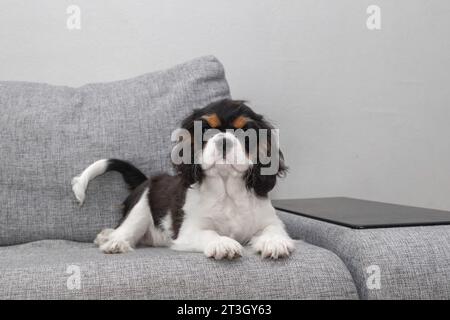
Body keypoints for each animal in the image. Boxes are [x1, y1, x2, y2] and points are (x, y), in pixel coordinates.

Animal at [71, 99, 296, 258]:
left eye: (245, 134)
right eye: (205, 131)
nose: (224, 141)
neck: (226, 191)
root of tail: (148, 179)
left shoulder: (270, 220)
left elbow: (273, 230)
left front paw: (274, 242)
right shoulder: (188, 231)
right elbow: (209, 233)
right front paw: (222, 243)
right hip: (141, 206)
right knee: (126, 228)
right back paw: (113, 242)